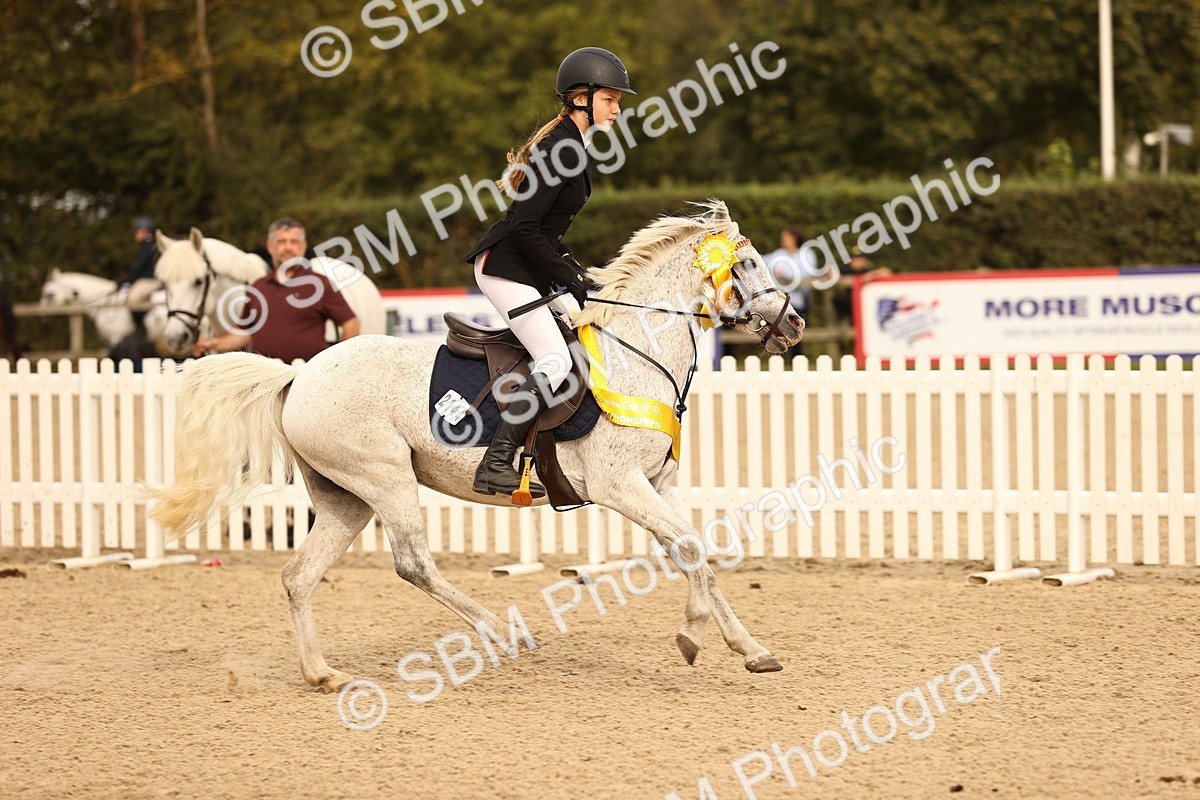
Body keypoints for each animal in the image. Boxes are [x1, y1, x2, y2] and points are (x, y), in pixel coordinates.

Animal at [145, 201, 804, 692]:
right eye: (747, 263)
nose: (793, 325)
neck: (635, 352)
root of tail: (298, 375)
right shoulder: (620, 486)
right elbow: (690, 548)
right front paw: (693, 635)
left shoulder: (658, 483)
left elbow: (699, 551)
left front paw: (749, 647)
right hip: (385, 477)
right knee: (412, 563)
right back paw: (500, 631)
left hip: (345, 498)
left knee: (299, 576)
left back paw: (322, 674)